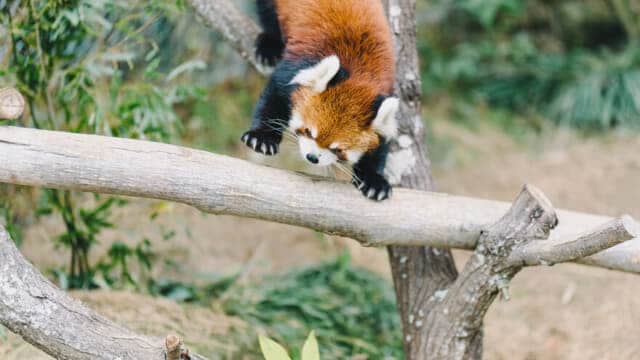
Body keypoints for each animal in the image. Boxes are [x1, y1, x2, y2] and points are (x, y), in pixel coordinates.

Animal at [242, 0, 398, 201]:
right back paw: (269, 45)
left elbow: (380, 141)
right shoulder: (299, 64)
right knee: (268, 15)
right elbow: (274, 97)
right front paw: (261, 138)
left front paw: (374, 179)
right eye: (308, 131)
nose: (312, 157)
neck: (360, 75)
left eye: (338, 150)